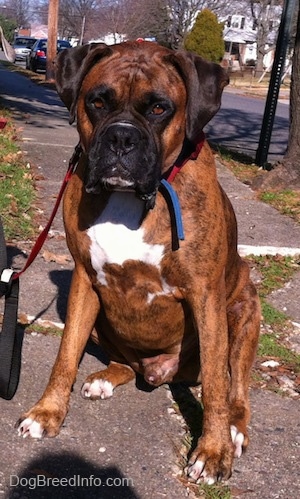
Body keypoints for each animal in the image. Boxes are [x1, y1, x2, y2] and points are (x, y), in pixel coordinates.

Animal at [17, 41, 260, 486]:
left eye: (160, 108)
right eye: (97, 102)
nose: (121, 137)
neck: (131, 200)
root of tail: (162, 372)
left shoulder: (206, 297)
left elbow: (217, 384)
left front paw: (213, 452)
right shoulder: (84, 281)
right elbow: (65, 354)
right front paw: (47, 412)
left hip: (243, 310)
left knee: (235, 384)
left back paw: (234, 429)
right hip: (101, 320)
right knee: (125, 362)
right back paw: (106, 378)